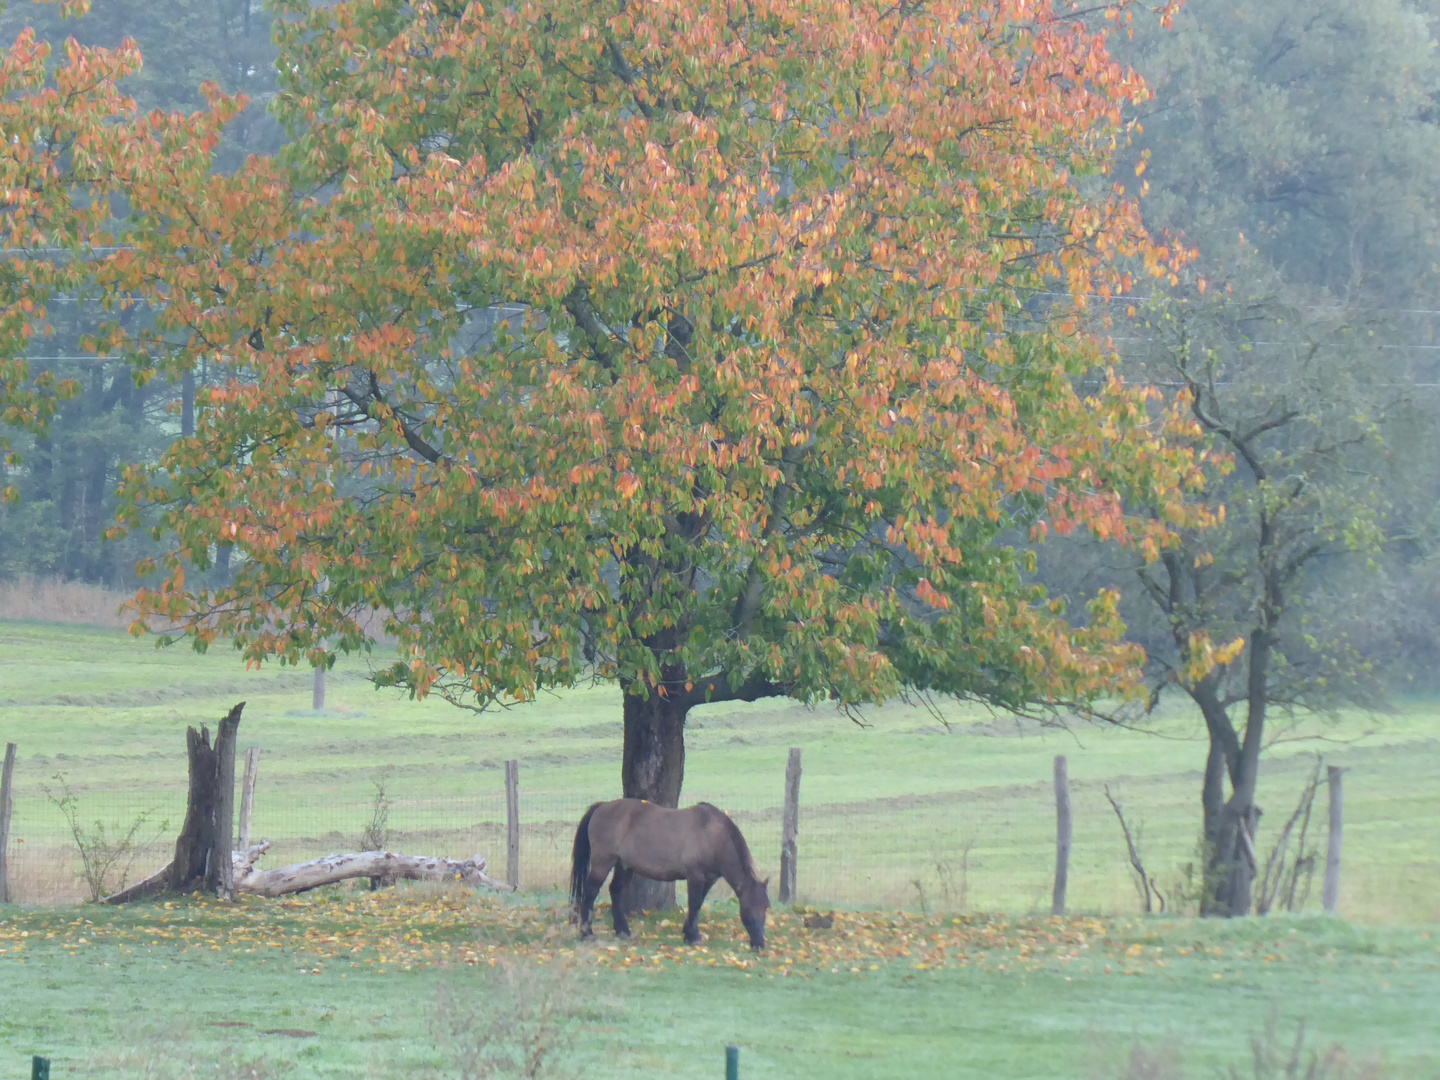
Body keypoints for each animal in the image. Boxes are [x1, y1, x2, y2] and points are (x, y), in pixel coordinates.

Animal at [567, 800, 771, 950]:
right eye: (749, 909)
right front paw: (694, 937)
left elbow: (697, 905)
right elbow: (694, 903)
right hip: (603, 863)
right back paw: (587, 933)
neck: (712, 834)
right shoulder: (695, 876)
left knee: (615, 891)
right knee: (590, 892)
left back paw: (623, 932)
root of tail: (602, 806)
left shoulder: (709, 879)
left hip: (624, 865)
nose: (759, 945)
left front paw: (687, 933)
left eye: (766, 907)